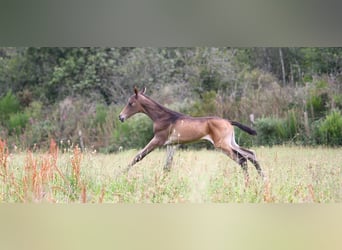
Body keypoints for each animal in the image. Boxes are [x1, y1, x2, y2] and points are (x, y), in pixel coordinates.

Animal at [118, 87, 264, 179]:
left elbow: (138, 156)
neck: (163, 117)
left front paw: (120, 174)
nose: (121, 117)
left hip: (222, 145)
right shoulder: (171, 144)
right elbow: (167, 166)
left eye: (130, 103)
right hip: (231, 142)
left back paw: (248, 183)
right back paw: (263, 179)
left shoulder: (158, 140)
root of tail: (228, 121)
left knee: (242, 159)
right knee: (250, 154)